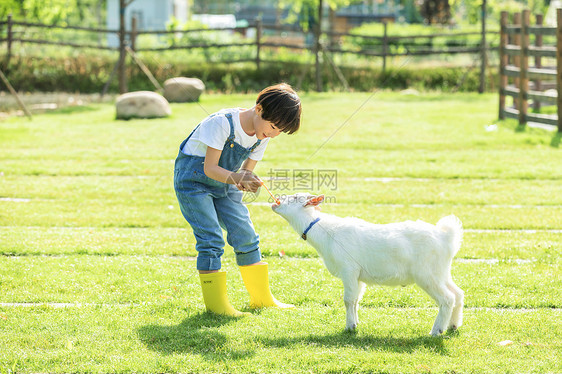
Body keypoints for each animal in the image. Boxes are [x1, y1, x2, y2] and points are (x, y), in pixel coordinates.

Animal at [272, 193, 464, 336]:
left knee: (447, 298)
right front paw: (355, 323)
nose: (276, 200)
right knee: (458, 294)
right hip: (441, 272)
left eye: (295, 197)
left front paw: (349, 327)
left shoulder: (348, 269)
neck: (325, 232)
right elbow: (356, 300)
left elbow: (348, 299)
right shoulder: (358, 276)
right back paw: (453, 326)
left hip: (426, 275)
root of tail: (446, 237)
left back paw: (437, 331)